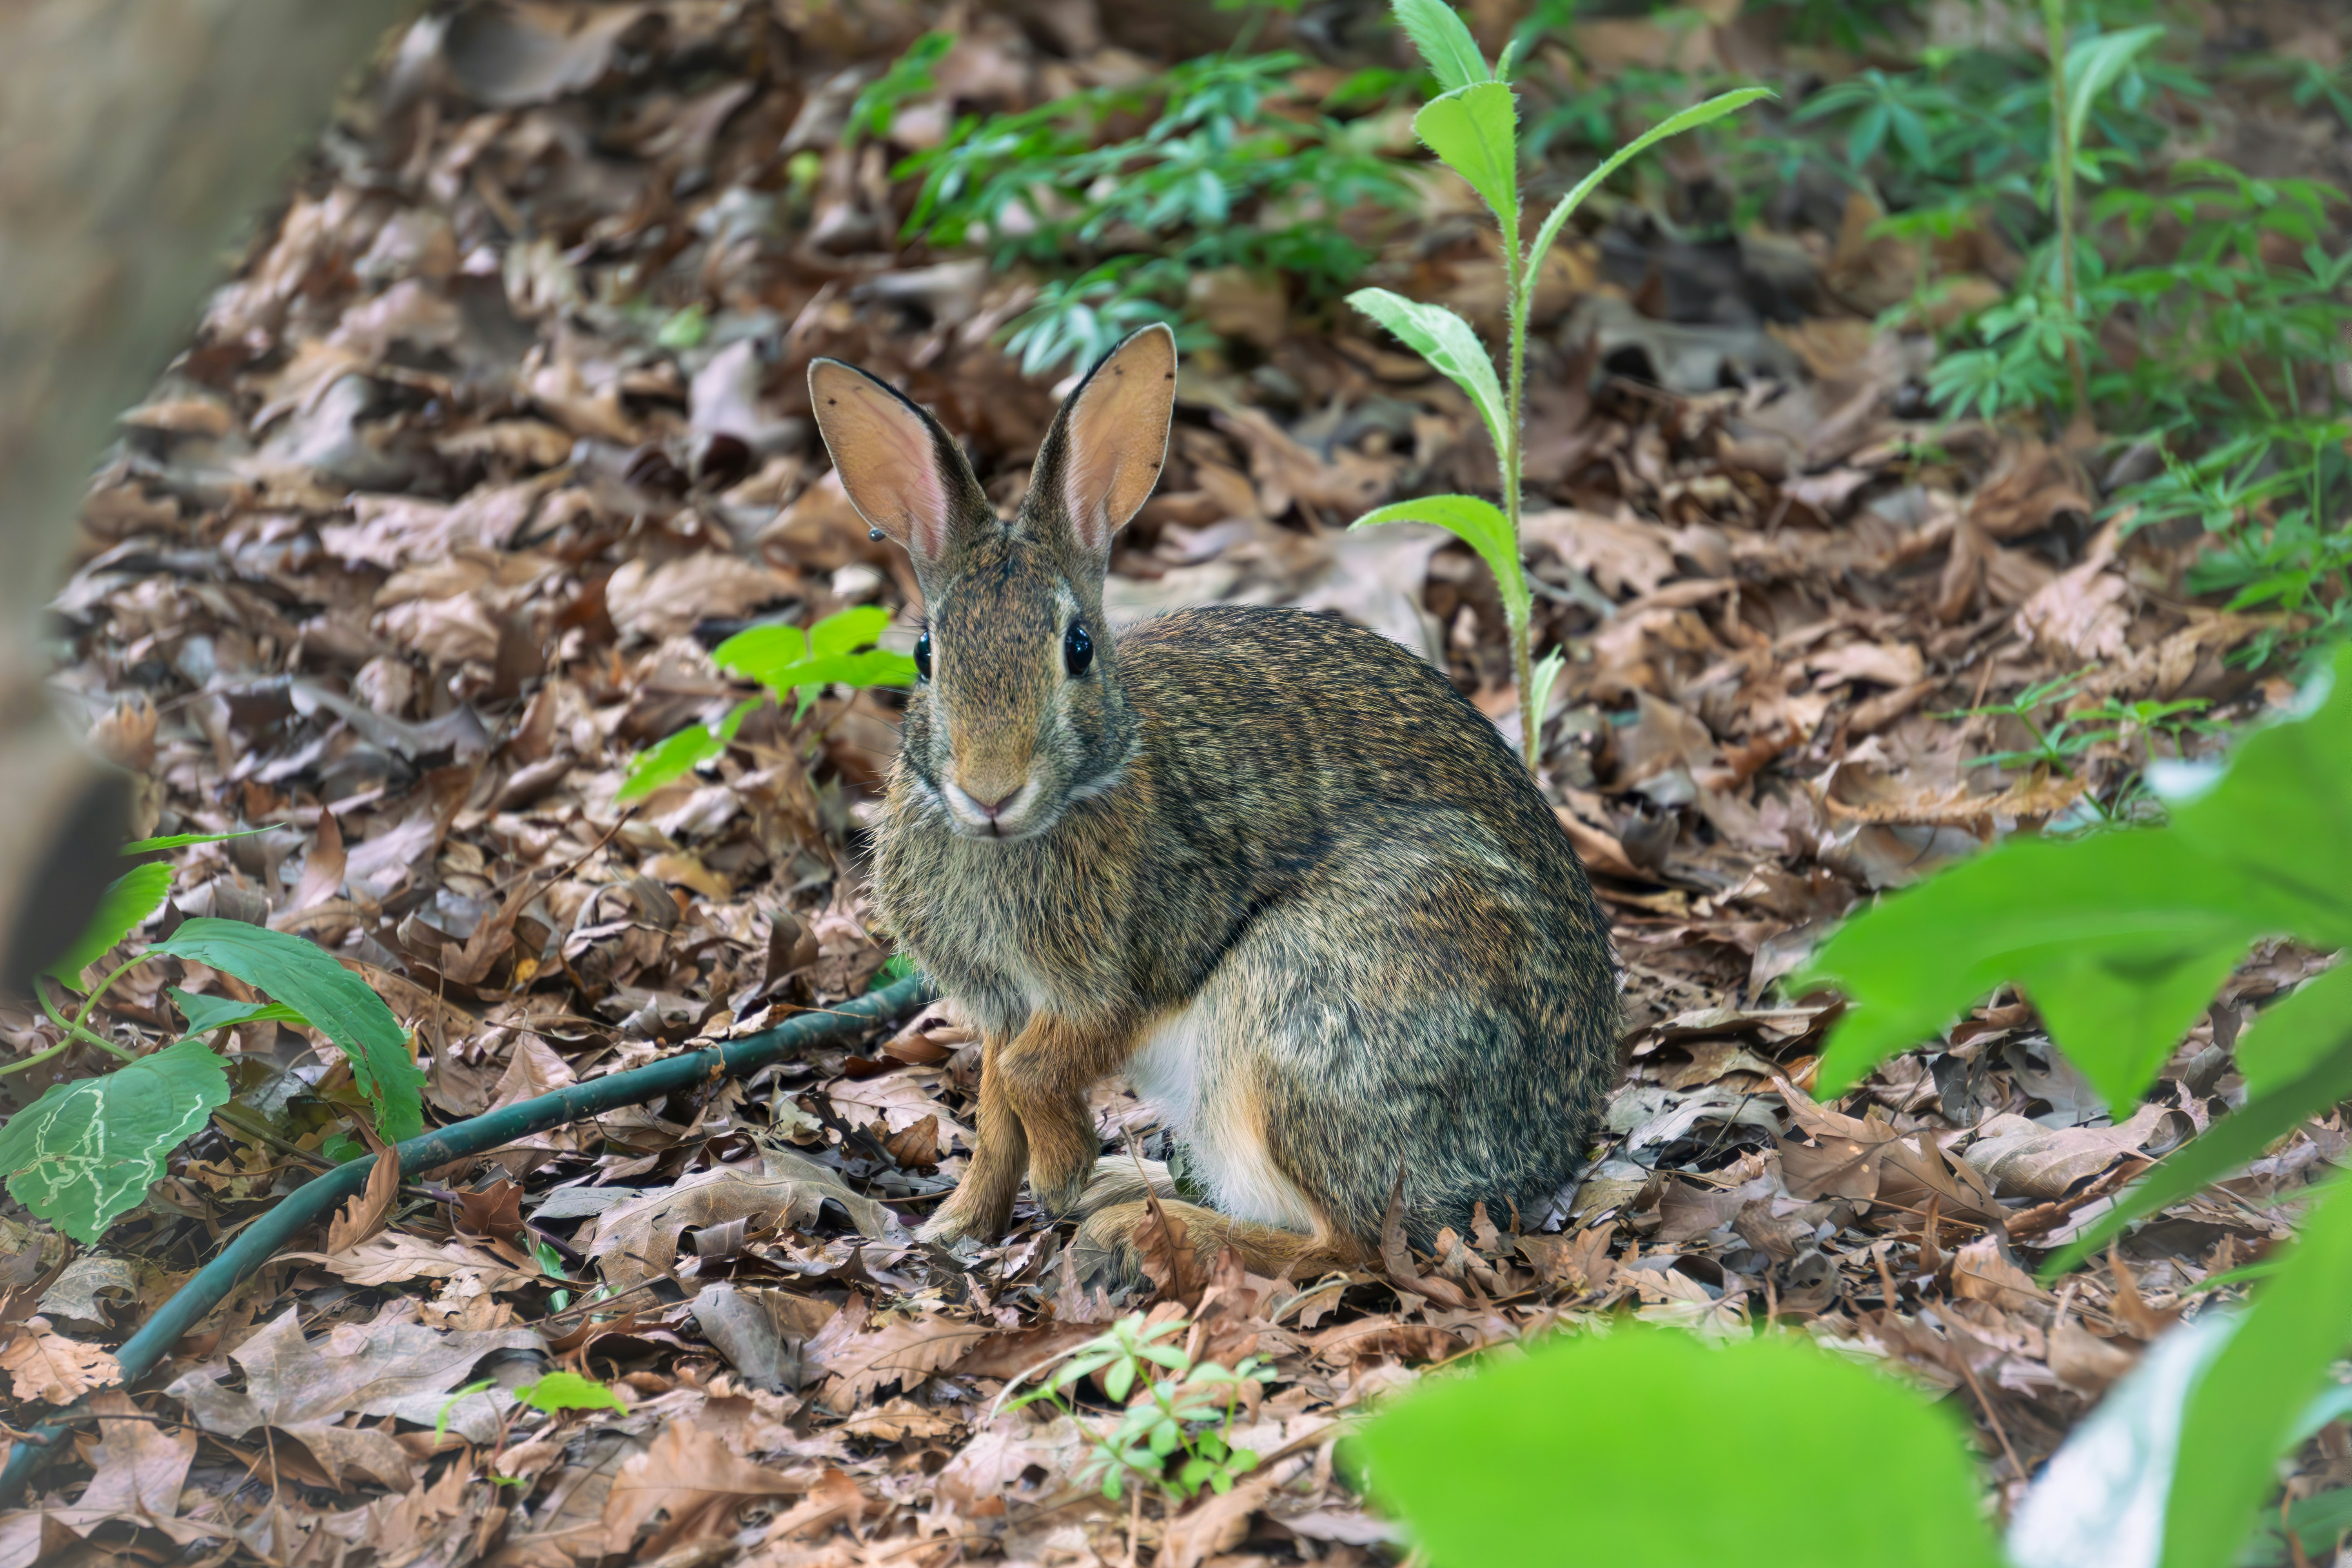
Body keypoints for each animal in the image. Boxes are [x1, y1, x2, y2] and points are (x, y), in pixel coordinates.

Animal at [806, 323, 1619, 1283]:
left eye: (1078, 647)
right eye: (926, 656)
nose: (990, 789)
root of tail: (1538, 1163)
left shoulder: (1123, 974)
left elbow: (1035, 1073)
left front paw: (1060, 1168)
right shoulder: (1003, 1003)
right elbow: (997, 1100)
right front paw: (958, 1225)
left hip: (1301, 1022)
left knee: (1353, 1245)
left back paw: (1136, 1228)